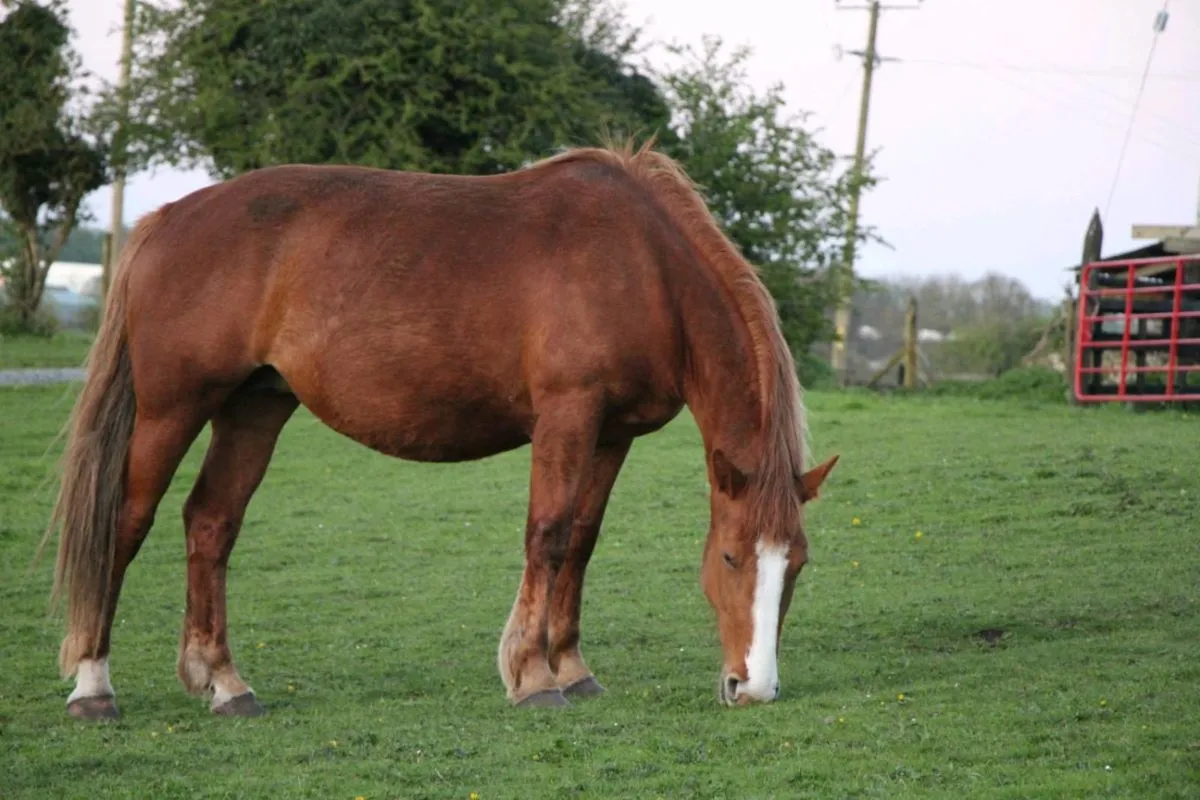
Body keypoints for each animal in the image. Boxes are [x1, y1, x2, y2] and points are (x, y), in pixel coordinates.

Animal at [42, 140, 840, 724]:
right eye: (731, 558)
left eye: (798, 564)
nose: (753, 687)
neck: (643, 266)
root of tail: (166, 220)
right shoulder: (567, 417)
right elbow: (548, 535)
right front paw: (533, 676)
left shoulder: (613, 435)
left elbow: (582, 541)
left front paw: (573, 668)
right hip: (172, 409)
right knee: (125, 523)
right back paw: (93, 688)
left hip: (254, 407)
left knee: (210, 524)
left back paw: (226, 684)